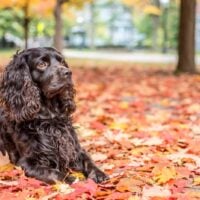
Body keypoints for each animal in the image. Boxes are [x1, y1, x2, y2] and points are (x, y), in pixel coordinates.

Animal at [0, 47, 108, 184]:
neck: (49, 117)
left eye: (62, 62)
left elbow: (88, 160)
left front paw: (99, 173)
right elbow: (55, 174)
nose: (68, 72)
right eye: (42, 64)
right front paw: (73, 179)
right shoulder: (26, 162)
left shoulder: (75, 149)